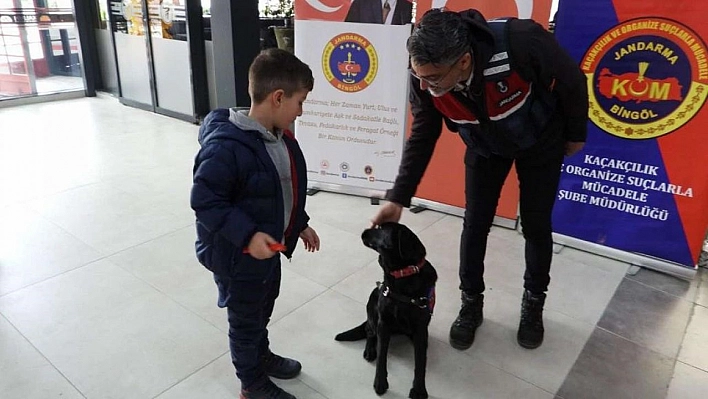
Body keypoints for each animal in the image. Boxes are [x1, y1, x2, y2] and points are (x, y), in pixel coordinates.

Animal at [334, 222, 436, 399]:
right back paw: (369, 350)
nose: (364, 230)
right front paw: (380, 382)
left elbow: (420, 361)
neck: (402, 276)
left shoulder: (420, 328)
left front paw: (419, 389)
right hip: (373, 304)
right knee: (369, 331)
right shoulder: (384, 323)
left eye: (381, 228)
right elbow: (382, 355)